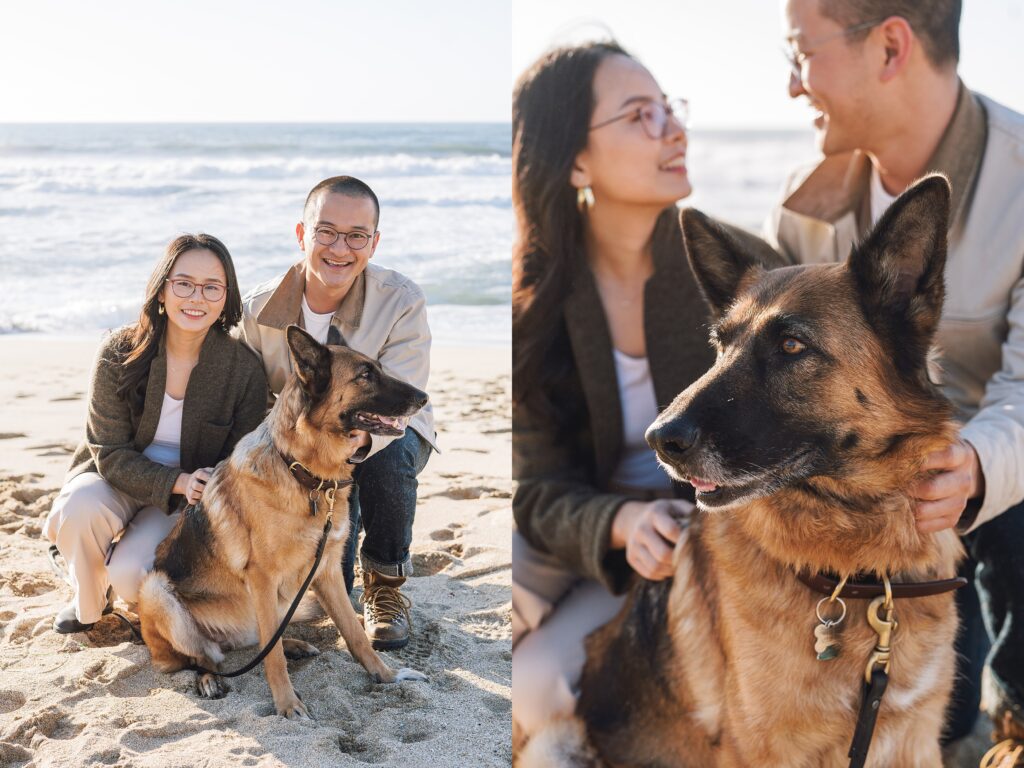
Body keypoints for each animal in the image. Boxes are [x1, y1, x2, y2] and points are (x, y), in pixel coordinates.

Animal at [137, 325, 428, 720]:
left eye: (379, 368)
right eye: (366, 375)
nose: (424, 397)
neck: (304, 474)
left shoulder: (327, 573)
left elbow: (354, 635)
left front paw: (387, 675)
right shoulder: (262, 577)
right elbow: (272, 659)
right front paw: (287, 704)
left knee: (256, 641)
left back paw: (293, 644)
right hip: (156, 591)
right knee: (201, 657)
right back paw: (209, 678)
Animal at [524, 176, 962, 768]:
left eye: (792, 346)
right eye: (720, 344)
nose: (659, 439)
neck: (860, 577)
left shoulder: (914, 741)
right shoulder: (759, 749)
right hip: (554, 741)